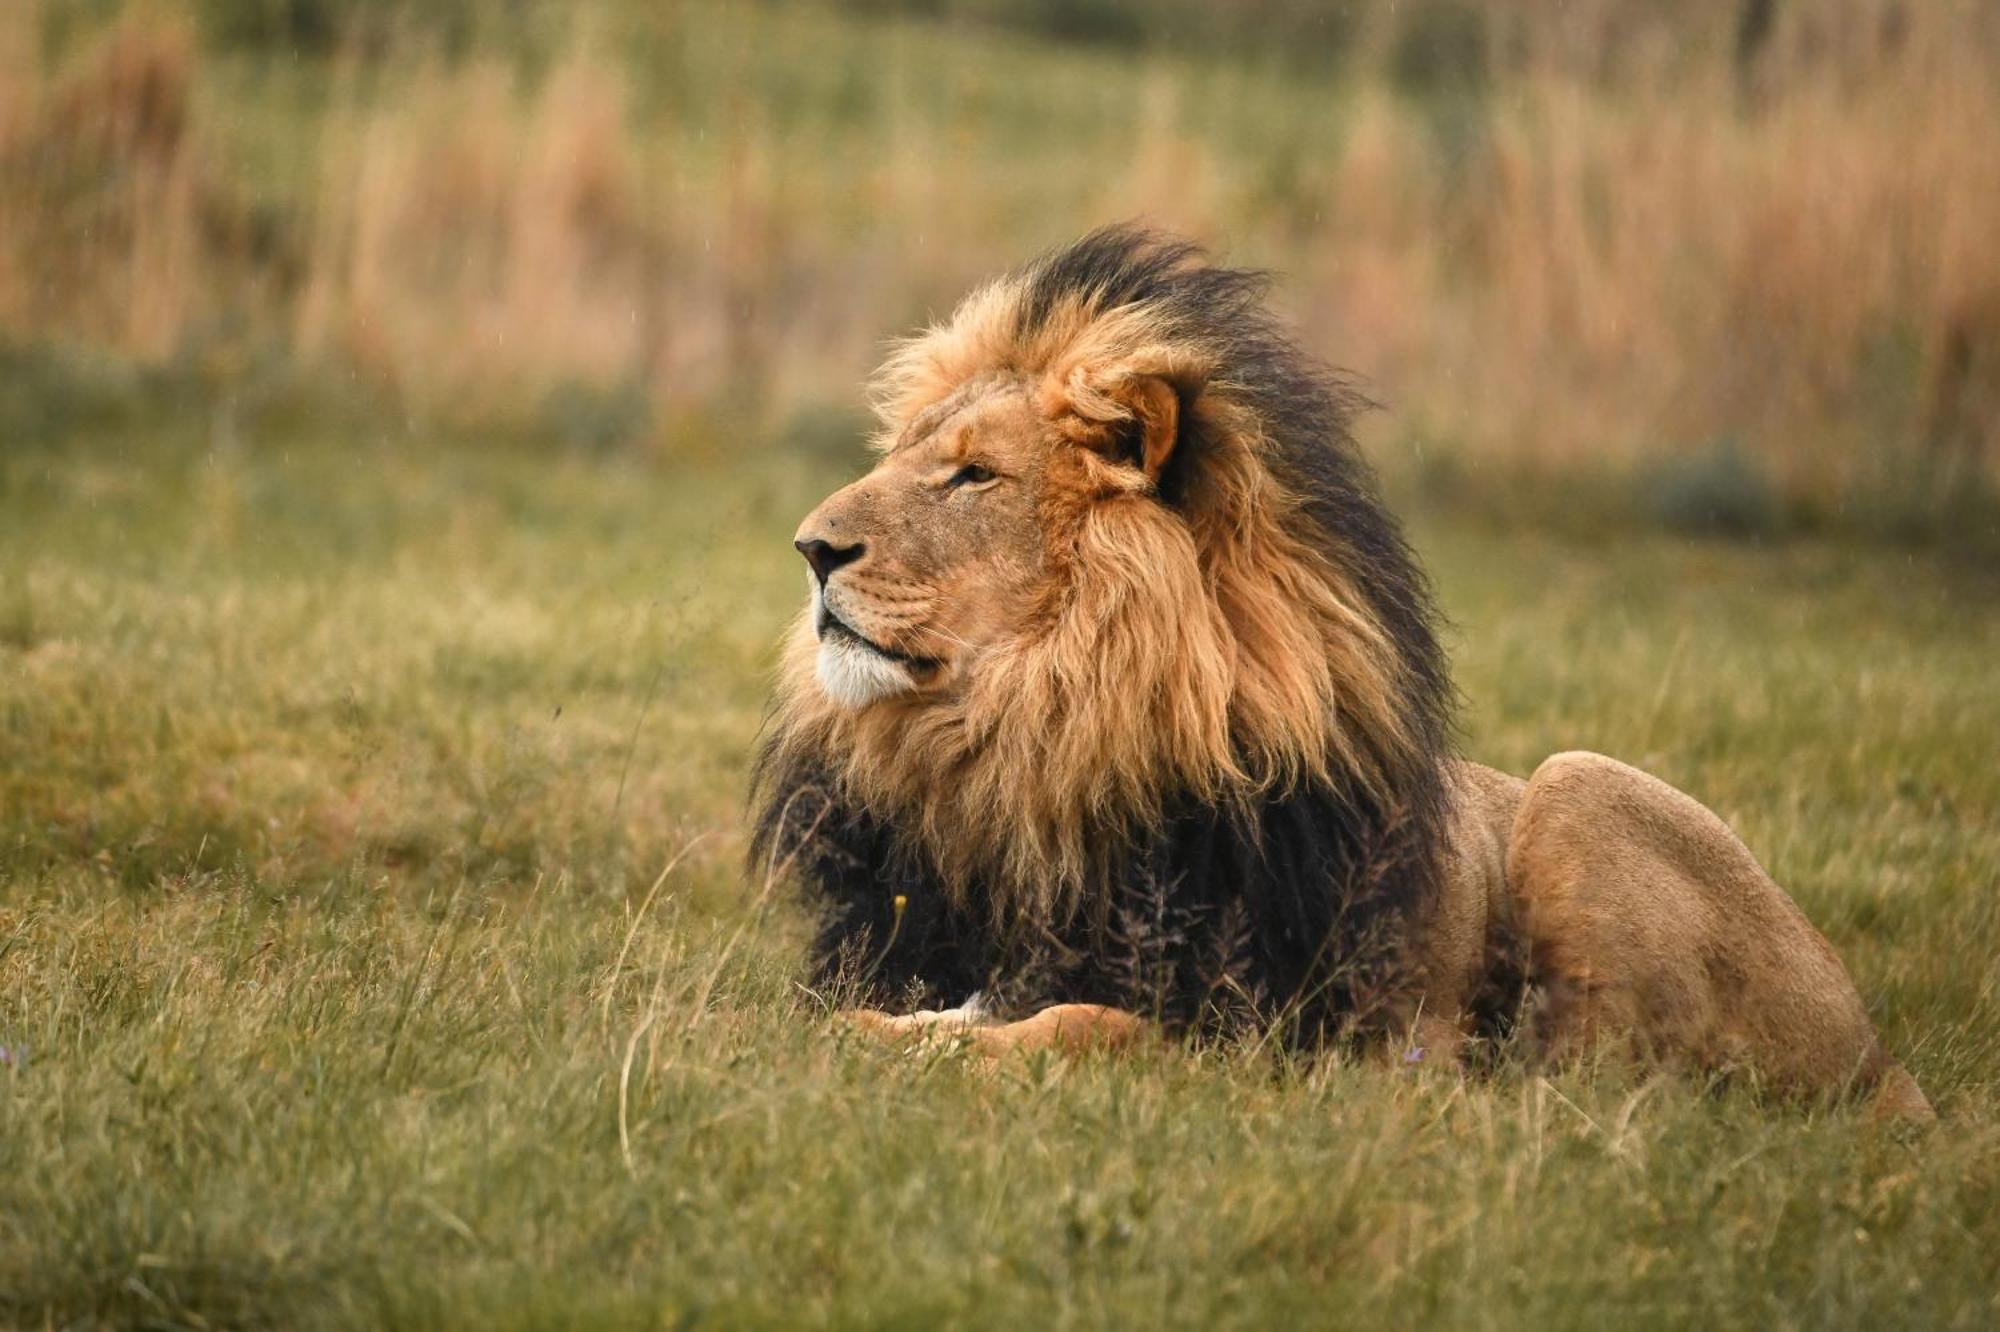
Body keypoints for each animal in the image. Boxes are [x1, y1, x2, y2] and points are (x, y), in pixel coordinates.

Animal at [748, 223, 1920, 1112]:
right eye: (906, 459)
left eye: (975, 476)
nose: (809, 549)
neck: (1033, 739)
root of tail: (1879, 1054)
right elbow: (906, 1007)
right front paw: (851, 1032)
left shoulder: (1257, 1031)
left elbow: (1082, 1023)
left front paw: (908, 1048)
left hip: (1580, 788)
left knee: (1602, 1086)